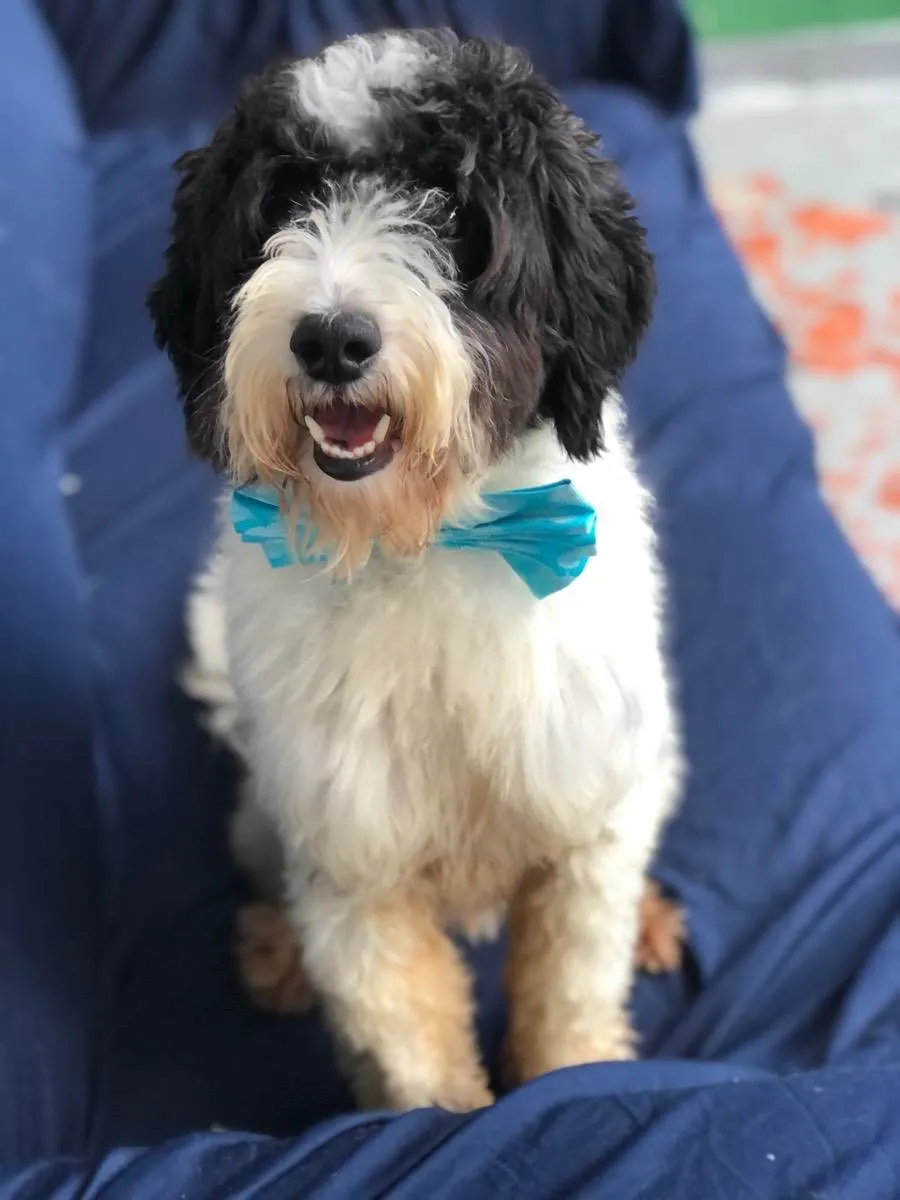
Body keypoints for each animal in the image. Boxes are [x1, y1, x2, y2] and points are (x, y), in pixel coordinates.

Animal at [149, 29, 683, 1112]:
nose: (330, 337)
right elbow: (413, 1053)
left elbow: (571, 985)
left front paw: (574, 1079)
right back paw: (273, 949)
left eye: (453, 210)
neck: (423, 543)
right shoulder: (352, 864)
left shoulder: (585, 814)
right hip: (267, 809)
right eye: (284, 202)